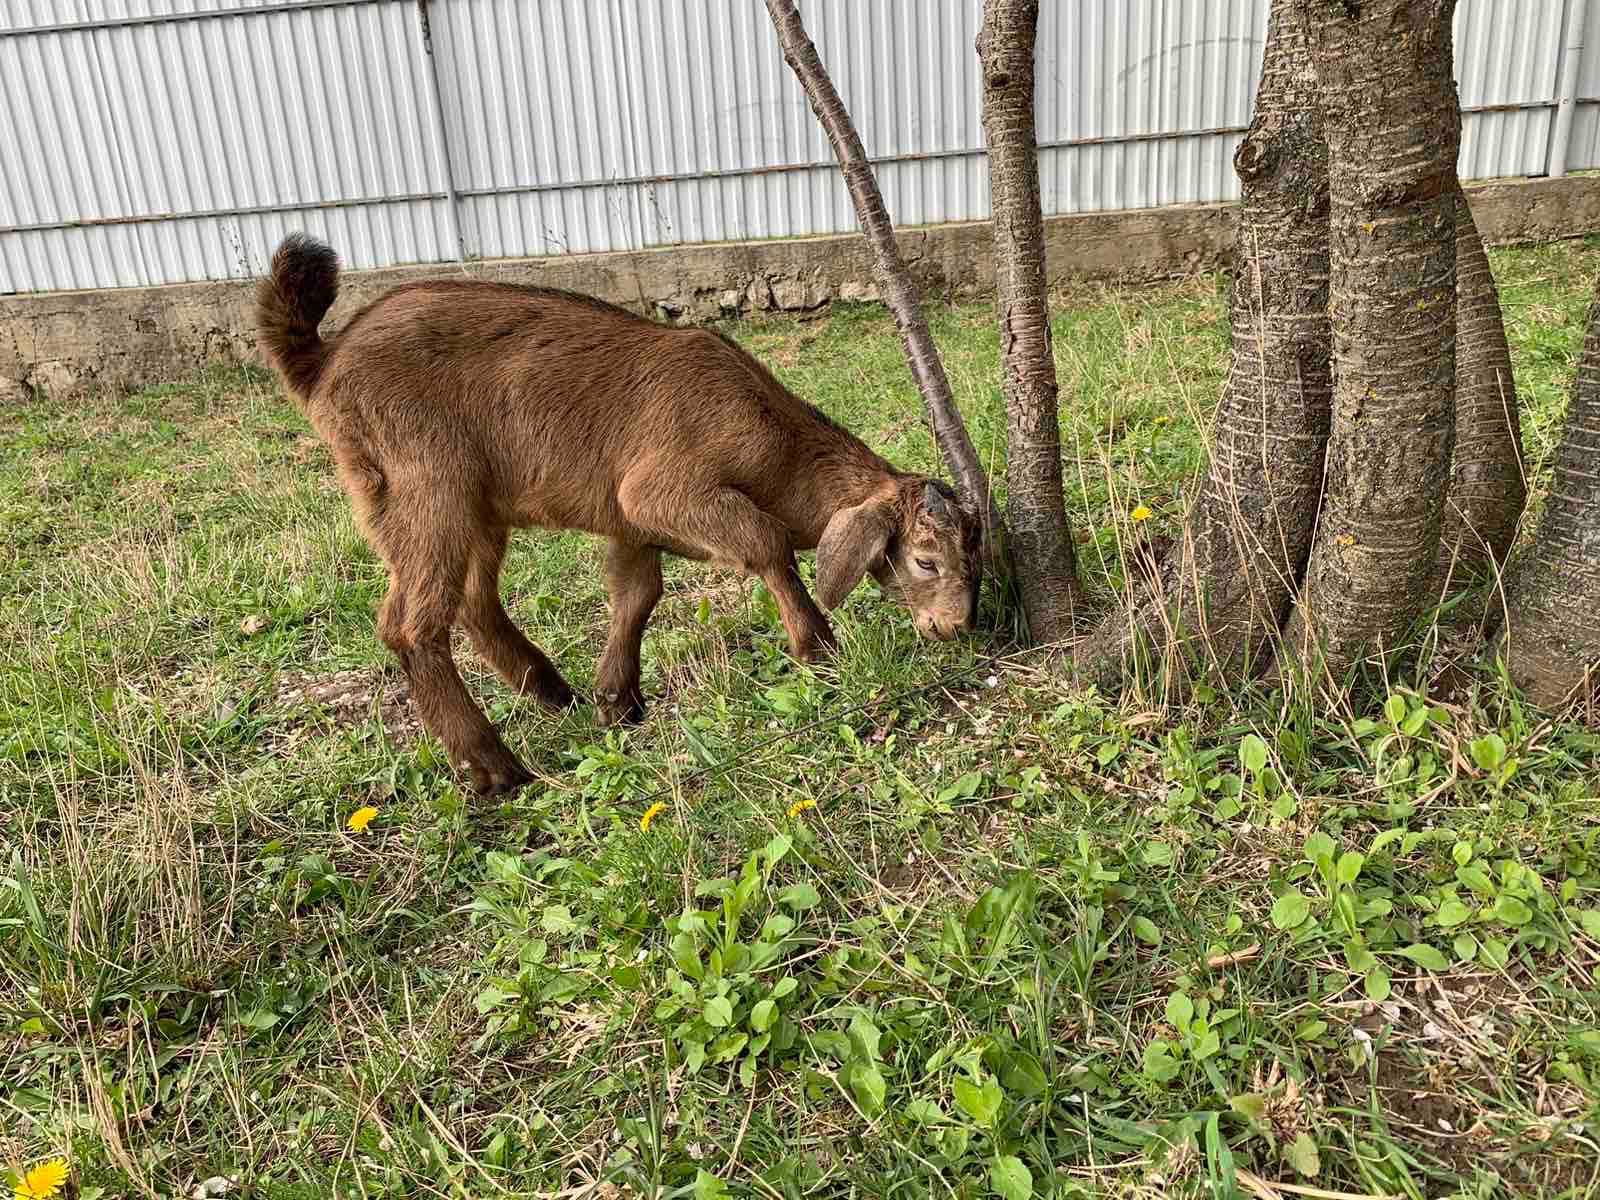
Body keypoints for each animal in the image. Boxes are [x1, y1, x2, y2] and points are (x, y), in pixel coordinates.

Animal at [256, 235, 979, 800]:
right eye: (924, 559)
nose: (956, 624)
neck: (772, 438)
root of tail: (324, 360)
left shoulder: (632, 526)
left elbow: (637, 594)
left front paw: (616, 700)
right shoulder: (659, 491)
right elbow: (765, 541)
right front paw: (817, 645)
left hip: (452, 505)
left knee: (472, 601)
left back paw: (551, 691)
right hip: (431, 487)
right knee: (411, 625)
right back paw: (493, 765)